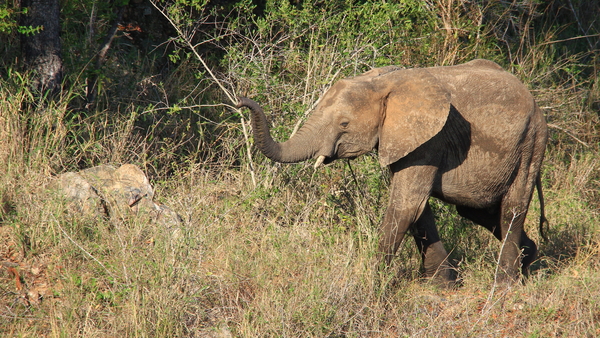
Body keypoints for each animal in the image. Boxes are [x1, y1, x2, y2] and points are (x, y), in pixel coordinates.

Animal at [236, 59, 548, 284]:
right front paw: (441, 285)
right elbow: (417, 210)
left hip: (532, 142)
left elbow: (406, 205)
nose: (240, 101)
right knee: (477, 211)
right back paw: (528, 259)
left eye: (344, 124)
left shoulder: (431, 138)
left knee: (511, 209)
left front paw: (367, 284)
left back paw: (504, 284)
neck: (383, 82)